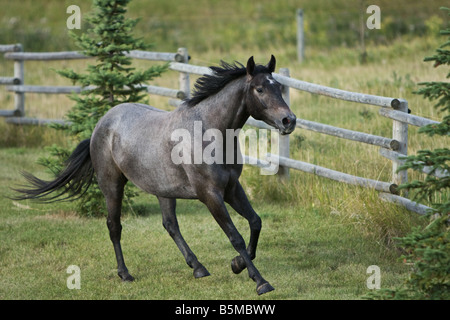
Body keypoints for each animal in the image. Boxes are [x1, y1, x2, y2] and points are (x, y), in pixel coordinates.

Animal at [13, 55, 296, 296]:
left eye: (278, 87)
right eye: (259, 89)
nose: (289, 120)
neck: (208, 131)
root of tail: (102, 123)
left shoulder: (231, 188)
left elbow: (255, 222)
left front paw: (237, 264)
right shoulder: (210, 194)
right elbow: (235, 236)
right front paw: (260, 282)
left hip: (163, 189)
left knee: (170, 225)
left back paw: (198, 268)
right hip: (112, 185)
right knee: (114, 226)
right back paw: (125, 274)